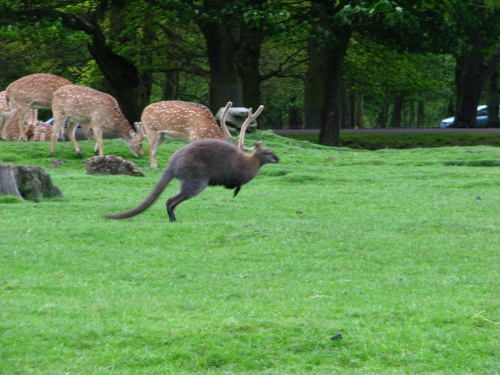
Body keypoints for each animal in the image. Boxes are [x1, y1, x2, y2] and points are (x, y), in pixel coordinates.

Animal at [106, 138, 278, 222]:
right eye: (269, 152)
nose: (278, 159)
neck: (252, 162)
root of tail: (173, 163)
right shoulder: (237, 175)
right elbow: (238, 184)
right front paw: (235, 191)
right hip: (196, 180)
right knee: (173, 200)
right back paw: (173, 219)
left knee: (169, 199)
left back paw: (171, 218)